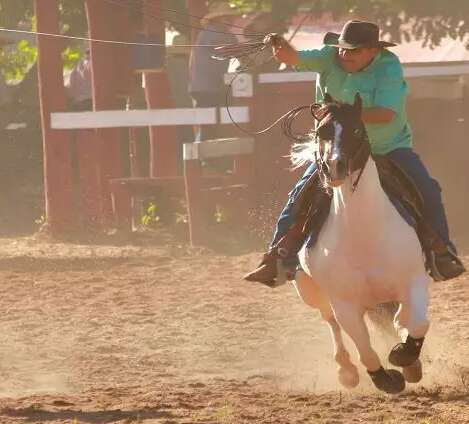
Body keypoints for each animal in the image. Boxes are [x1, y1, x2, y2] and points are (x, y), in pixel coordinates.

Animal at [294, 93, 430, 394]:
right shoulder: (343, 303)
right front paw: (386, 378)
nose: (335, 167)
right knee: (331, 322)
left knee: (399, 318)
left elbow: (419, 323)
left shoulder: (414, 280)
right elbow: (364, 348)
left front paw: (404, 355)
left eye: (357, 130)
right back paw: (346, 369)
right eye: (321, 132)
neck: (365, 233)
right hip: (311, 291)